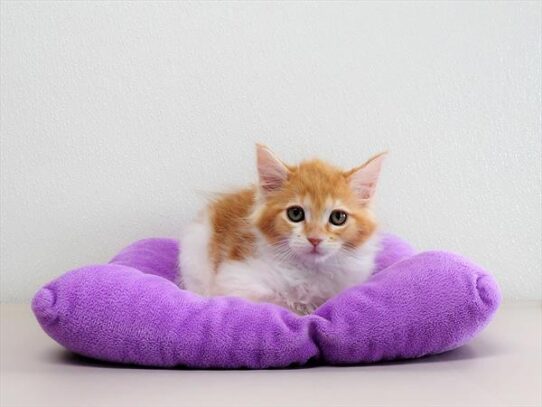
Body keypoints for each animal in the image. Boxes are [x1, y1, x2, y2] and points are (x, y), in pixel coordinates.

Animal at [181, 145, 388, 318]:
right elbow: (280, 302)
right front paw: (302, 307)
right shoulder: (234, 281)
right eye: (295, 213)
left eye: (338, 217)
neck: (310, 271)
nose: (314, 239)